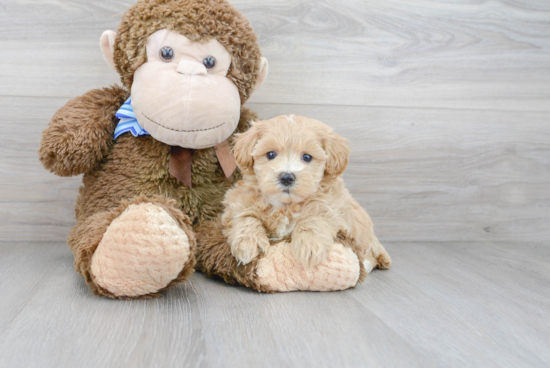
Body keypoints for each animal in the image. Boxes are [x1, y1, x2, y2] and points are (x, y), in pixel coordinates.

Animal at [221, 115, 392, 270]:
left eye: (307, 157)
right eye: (270, 154)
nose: (287, 177)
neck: (286, 205)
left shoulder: (333, 207)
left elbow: (315, 217)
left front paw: (309, 246)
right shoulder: (236, 202)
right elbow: (245, 216)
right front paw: (248, 243)